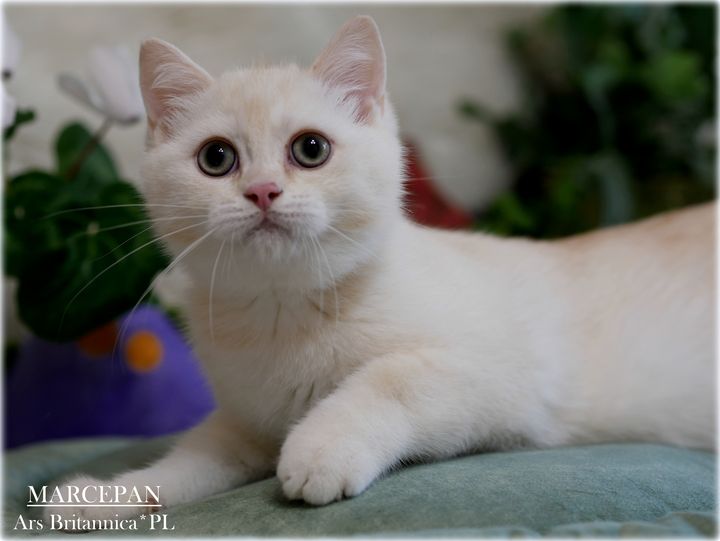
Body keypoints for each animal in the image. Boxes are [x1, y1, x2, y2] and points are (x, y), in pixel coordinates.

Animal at [48, 15, 714, 523]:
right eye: (216, 158)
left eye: (310, 149)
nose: (262, 191)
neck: (284, 313)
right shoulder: (245, 425)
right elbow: (189, 463)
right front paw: (103, 497)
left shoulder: (502, 381)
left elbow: (389, 379)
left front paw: (321, 448)